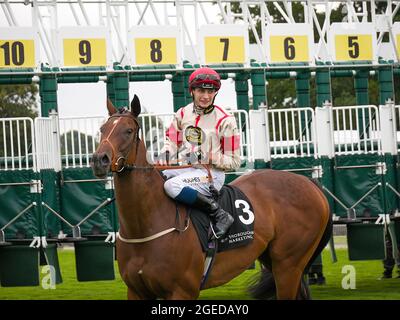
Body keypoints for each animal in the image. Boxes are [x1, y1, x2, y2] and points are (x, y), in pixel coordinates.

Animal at [90, 95, 332, 300]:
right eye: (103, 129)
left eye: (128, 130)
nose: (99, 159)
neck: (145, 225)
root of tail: (308, 183)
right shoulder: (136, 291)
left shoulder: (182, 291)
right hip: (272, 260)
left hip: (288, 265)